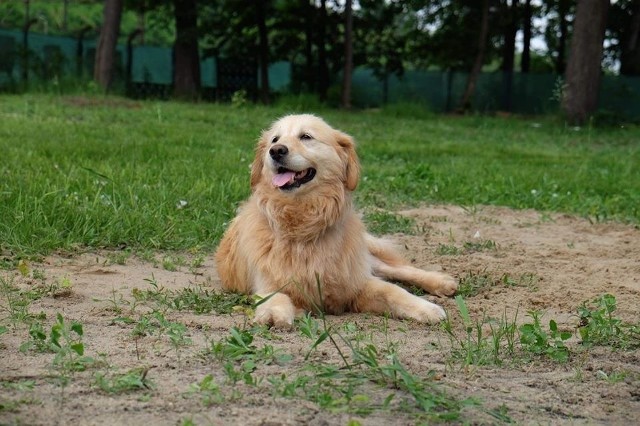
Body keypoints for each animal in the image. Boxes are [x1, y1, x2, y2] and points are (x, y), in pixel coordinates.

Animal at [218, 115, 458, 328]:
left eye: (306, 136)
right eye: (275, 139)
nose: (276, 151)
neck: (302, 225)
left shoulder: (355, 281)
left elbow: (394, 291)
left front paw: (426, 308)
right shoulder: (268, 282)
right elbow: (274, 296)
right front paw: (274, 314)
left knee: (396, 269)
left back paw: (441, 282)